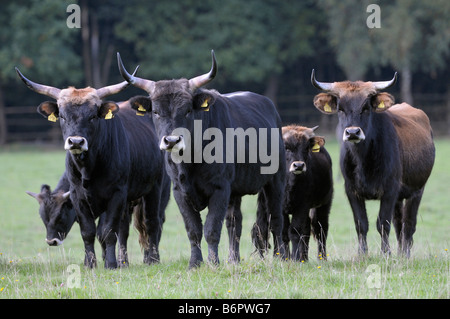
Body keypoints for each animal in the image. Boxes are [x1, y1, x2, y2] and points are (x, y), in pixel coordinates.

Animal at [16, 68, 170, 270]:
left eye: (93, 116)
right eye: (62, 116)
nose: (75, 142)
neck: (88, 169)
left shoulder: (115, 196)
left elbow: (107, 231)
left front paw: (110, 263)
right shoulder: (78, 197)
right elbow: (89, 232)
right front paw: (90, 263)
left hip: (156, 190)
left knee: (153, 222)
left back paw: (151, 259)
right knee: (125, 229)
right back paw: (124, 261)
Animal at [116, 51, 284, 268]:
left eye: (187, 110)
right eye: (155, 111)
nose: (172, 140)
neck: (190, 162)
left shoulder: (220, 189)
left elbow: (212, 228)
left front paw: (213, 262)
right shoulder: (180, 192)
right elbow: (193, 229)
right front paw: (195, 262)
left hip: (276, 180)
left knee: (276, 218)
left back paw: (282, 256)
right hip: (236, 191)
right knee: (235, 221)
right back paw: (234, 259)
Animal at [284, 125, 332, 262]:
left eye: (306, 148)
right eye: (286, 147)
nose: (299, 165)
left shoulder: (302, 206)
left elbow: (294, 231)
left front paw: (295, 258)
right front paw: (284, 257)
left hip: (324, 204)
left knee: (321, 229)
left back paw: (322, 258)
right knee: (306, 231)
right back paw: (304, 258)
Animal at [312, 70, 434, 258]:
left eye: (366, 107)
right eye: (340, 108)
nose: (352, 132)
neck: (364, 161)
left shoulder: (390, 190)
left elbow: (383, 223)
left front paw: (385, 253)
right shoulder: (352, 190)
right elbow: (361, 223)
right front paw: (362, 254)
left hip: (417, 191)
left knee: (409, 223)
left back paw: (405, 254)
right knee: (399, 223)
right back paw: (400, 252)